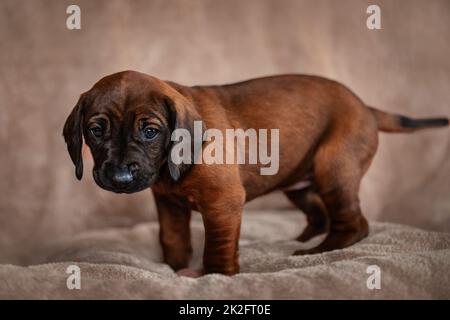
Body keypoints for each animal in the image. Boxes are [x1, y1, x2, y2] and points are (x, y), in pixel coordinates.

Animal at [64, 71, 450, 276]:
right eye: (95, 130)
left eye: (149, 131)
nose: (119, 177)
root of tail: (365, 107)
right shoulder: (168, 204)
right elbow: (172, 238)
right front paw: (173, 268)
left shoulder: (223, 203)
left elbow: (218, 246)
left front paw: (214, 276)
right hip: (300, 181)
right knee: (319, 214)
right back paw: (301, 240)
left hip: (333, 167)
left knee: (353, 224)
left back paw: (318, 250)